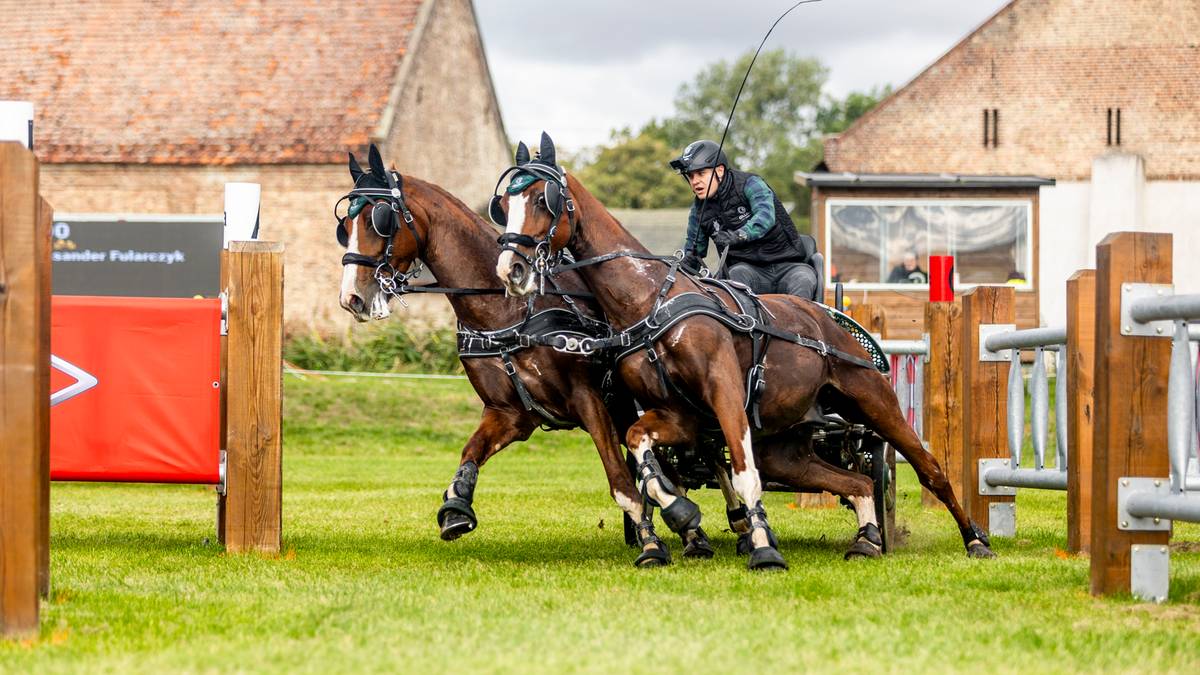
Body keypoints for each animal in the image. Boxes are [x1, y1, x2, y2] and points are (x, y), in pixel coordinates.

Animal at [338, 144, 710, 564]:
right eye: (345, 225)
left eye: (379, 220)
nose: (351, 297)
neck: (510, 314)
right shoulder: (510, 414)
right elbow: (470, 453)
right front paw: (456, 508)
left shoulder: (589, 400)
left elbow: (621, 482)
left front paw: (651, 544)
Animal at [489, 131, 993, 566]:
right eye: (504, 204)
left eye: (543, 199)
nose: (510, 268)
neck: (652, 300)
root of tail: (829, 320)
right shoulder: (679, 415)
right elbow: (640, 448)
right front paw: (683, 516)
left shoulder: (725, 394)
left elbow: (744, 474)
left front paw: (762, 546)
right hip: (788, 448)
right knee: (855, 481)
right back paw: (866, 539)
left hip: (873, 402)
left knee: (920, 467)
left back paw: (974, 539)